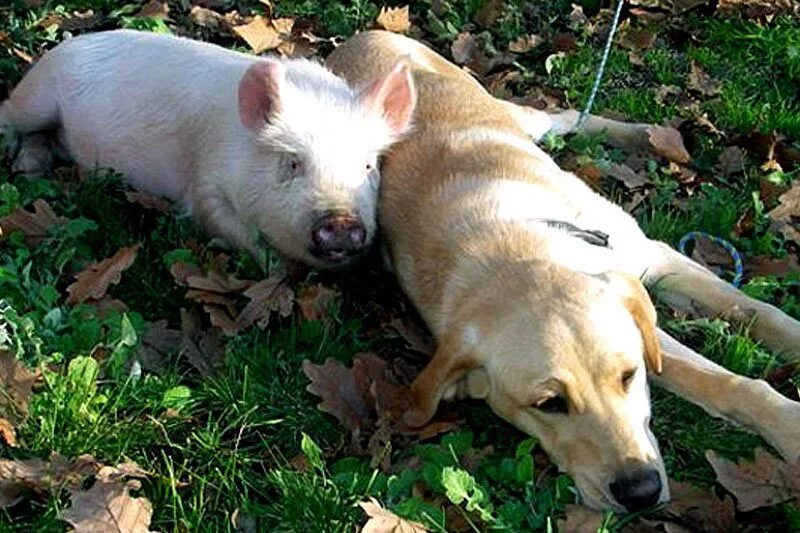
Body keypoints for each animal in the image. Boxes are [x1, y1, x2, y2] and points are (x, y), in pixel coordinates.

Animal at [3, 30, 418, 268]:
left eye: (368, 167)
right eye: (292, 163)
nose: (342, 222)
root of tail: (65, 44)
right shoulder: (204, 183)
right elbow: (234, 231)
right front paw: (278, 269)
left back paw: (30, 166)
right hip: (37, 95)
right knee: (10, 109)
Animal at [324, 30, 800, 512]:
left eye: (628, 376)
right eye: (549, 404)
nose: (640, 492)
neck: (513, 249)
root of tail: (356, 39)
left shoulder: (654, 259)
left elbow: (751, 324)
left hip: (510, 110)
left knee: (566, 115)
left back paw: (643, 135)